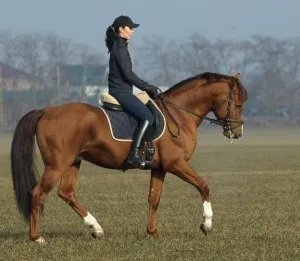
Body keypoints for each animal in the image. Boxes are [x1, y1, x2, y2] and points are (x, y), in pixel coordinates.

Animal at [10, 70, 247, 242]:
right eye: (237, 104)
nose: (237, 132)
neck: (179, 115)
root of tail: (46, 111)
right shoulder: (176, 164)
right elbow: (204, 186)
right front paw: (206, 225)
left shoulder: (160, 167)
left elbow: (154, 199)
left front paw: (153, 232)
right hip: (56, 165)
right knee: (38, 194)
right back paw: (37, 238)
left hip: (72, 163)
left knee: (66, 193)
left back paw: (96, 229)